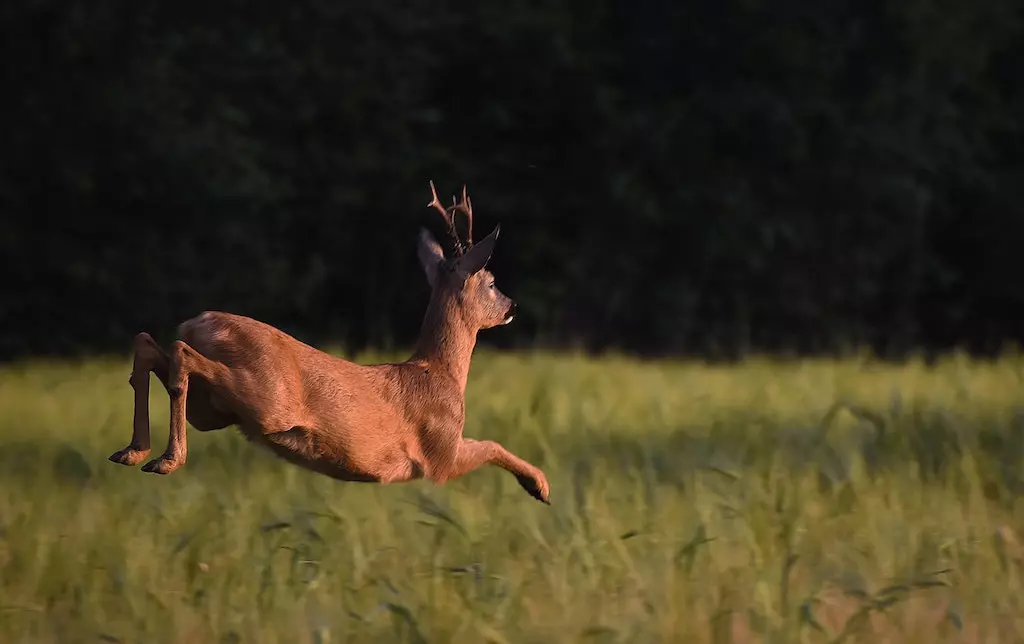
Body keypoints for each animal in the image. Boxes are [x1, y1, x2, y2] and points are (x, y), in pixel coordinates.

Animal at [105, 179, 552, 501]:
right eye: (491, 282)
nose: (512, 305)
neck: (440, 372)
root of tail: (199, 322)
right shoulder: (439, 454)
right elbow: (491, 444)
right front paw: (540, 486)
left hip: (215, 410)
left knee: (150, 345)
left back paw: (133, 452)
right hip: (265, 399)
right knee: (179, 353)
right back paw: (166, 459)